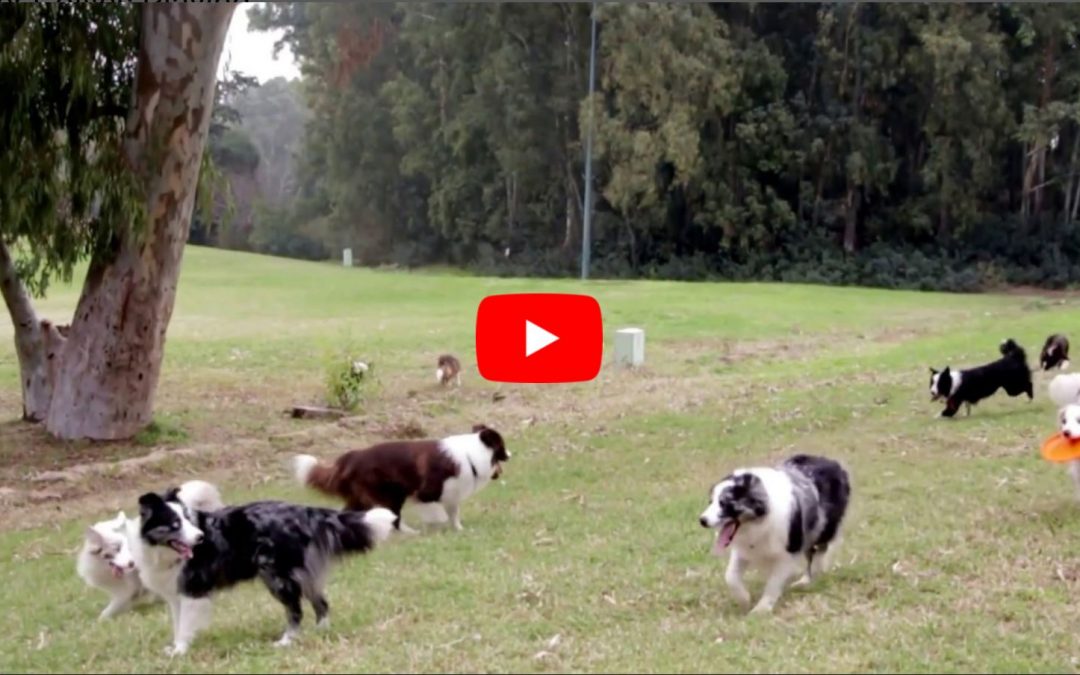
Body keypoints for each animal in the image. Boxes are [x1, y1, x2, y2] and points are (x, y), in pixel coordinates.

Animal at [128, 490, 395, 652]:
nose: (200, 538)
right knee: (321, 603)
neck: (160, 549)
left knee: (295, 611)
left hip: (277, 577)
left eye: (189, 521)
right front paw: (175, 648)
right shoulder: (177, 595)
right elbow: (177, 625)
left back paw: (287, 641)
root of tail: (303, 511)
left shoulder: (193, 590)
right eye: (175, 524)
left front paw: (180, 651)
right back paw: (321, 632)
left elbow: (184, 626)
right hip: (301, 575)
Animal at [699, 455, 851, 613]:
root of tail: (833, 463)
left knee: (817, 553)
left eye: (724, 503)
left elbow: (773, 583)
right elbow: (730, 576)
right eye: (711, 502)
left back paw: (807, 580)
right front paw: (744, 599)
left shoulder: (787, 552)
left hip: (819, 529)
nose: (702, 520)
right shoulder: (743, 549)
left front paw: (761, 609)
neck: (760, 520)